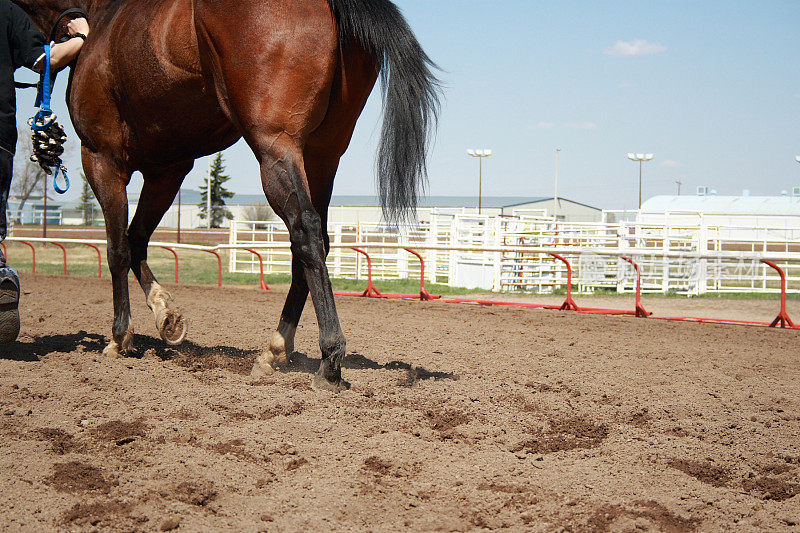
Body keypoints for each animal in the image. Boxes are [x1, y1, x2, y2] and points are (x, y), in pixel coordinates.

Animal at [12, 0, 440, 390]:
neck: (102, 17)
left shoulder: (101, 157)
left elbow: (117, 248)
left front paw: (120, 337)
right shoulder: (168, 169)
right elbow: (136, 240)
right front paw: (165, 315)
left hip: (276, 147)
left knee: (305, 233)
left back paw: (329, 361)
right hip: (322, 154)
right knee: (313, 240)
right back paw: (275, 350)